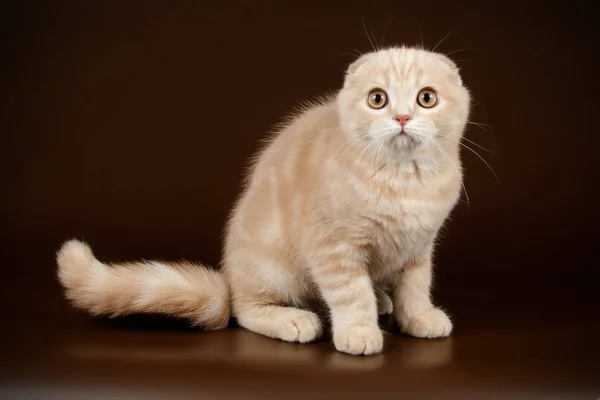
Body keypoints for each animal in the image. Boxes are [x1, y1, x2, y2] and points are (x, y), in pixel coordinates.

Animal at [57, 47, 468, 356]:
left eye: (426, 98)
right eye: (377, 99)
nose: (402, 117)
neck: (404, 180)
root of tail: (229, 280)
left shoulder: (419, 245)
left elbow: (415, 285)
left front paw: (418, 316)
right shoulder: (333, 248)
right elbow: (350, 293)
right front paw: (359, 331)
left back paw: (381, 299)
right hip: (273, 269)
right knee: (244, 310)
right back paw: (295, 319)